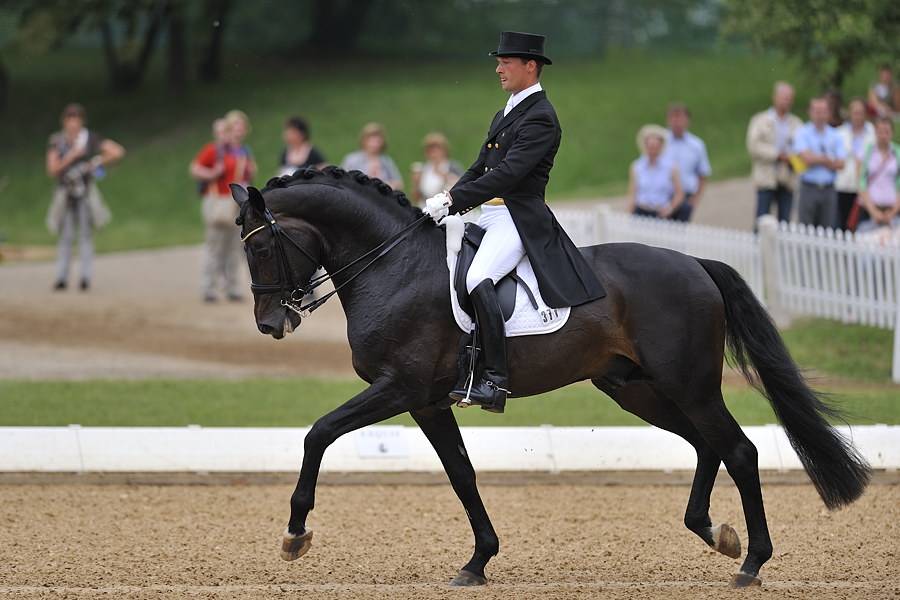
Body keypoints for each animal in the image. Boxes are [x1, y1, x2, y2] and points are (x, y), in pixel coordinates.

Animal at [230, 166, 870, 589]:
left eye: (260, 248)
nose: (269, 323)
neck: (393, 265)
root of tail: (694, 263)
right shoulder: (427, 402)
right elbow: (461, 474)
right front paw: (478, 561)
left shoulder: (399, 388)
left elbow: (319, 432)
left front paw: (294, 534)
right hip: (635, 388)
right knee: (705, 445)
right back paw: (715, 533)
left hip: (687, 384)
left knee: (738, 450)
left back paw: (751, 562)